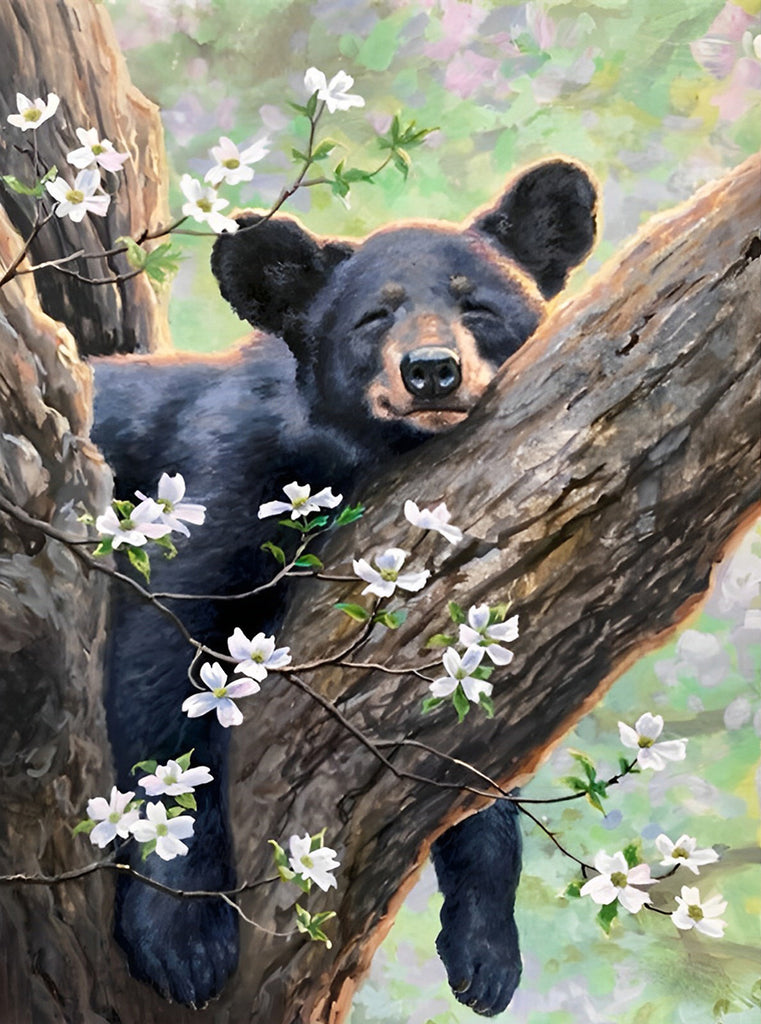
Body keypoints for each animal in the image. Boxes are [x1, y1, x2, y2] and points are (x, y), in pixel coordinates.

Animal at [92, 155, 598, 1011]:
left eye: (477, 304)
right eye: (371, 317)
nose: (431, 371)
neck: (360, 456)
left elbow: (474, 742)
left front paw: (486, 950)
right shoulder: (222, 479)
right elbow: (161, 667)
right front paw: (184, 938)